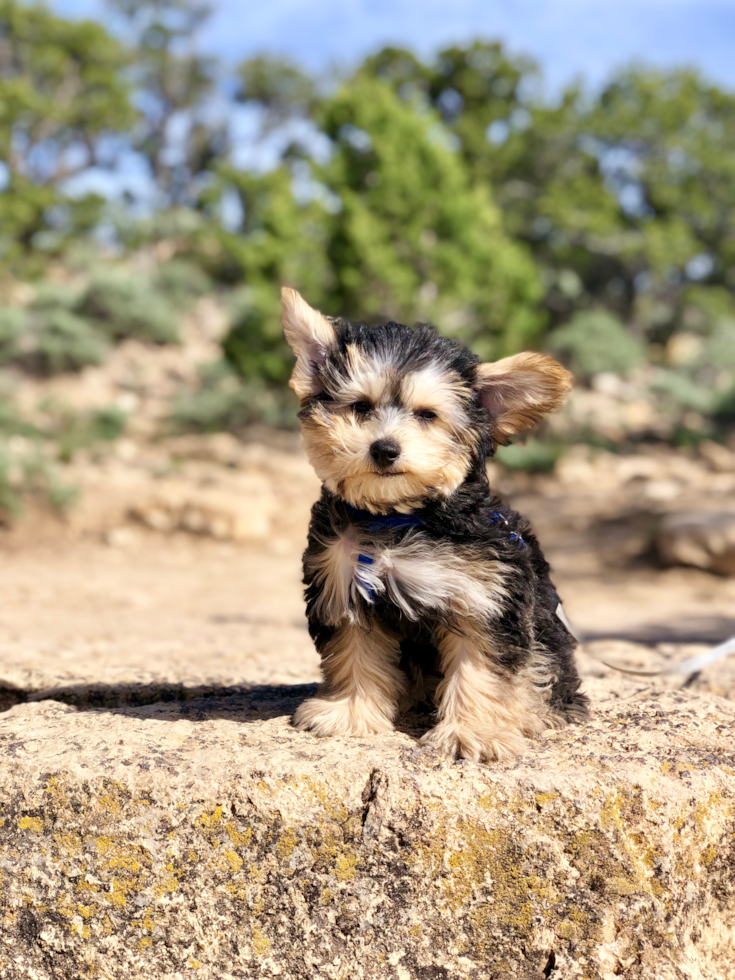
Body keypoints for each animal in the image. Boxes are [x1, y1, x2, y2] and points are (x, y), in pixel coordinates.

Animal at [284, 288, 588, 760]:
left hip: (548, 640)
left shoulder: (485, 597)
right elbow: (353, 650)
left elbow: (481, 666)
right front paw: (351, 712)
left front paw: (474, 732)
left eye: (427, 415)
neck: (399, 517)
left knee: (541, 672)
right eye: (360, 407)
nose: (385, 449)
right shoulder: (344, 582)